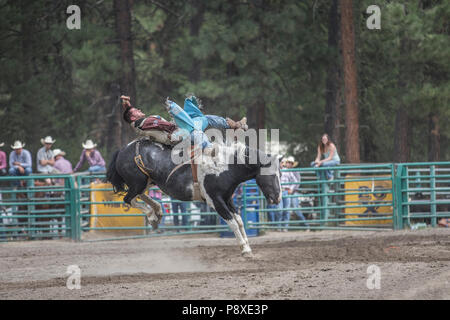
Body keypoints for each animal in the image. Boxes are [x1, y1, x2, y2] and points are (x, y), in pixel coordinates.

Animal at [106, 139, 282, 256]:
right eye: (272, 174)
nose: (277, 198)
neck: (224, 166)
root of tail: (123, 149)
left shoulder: (228, 199)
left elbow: (239, 221)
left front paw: (247, 246)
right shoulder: (215, 201)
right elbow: (232, 222)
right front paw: (245, 249)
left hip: (146, 182)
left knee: (139, 195)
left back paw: (158, 210)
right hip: (138, 182)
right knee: (129, 199)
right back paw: (151, 215)